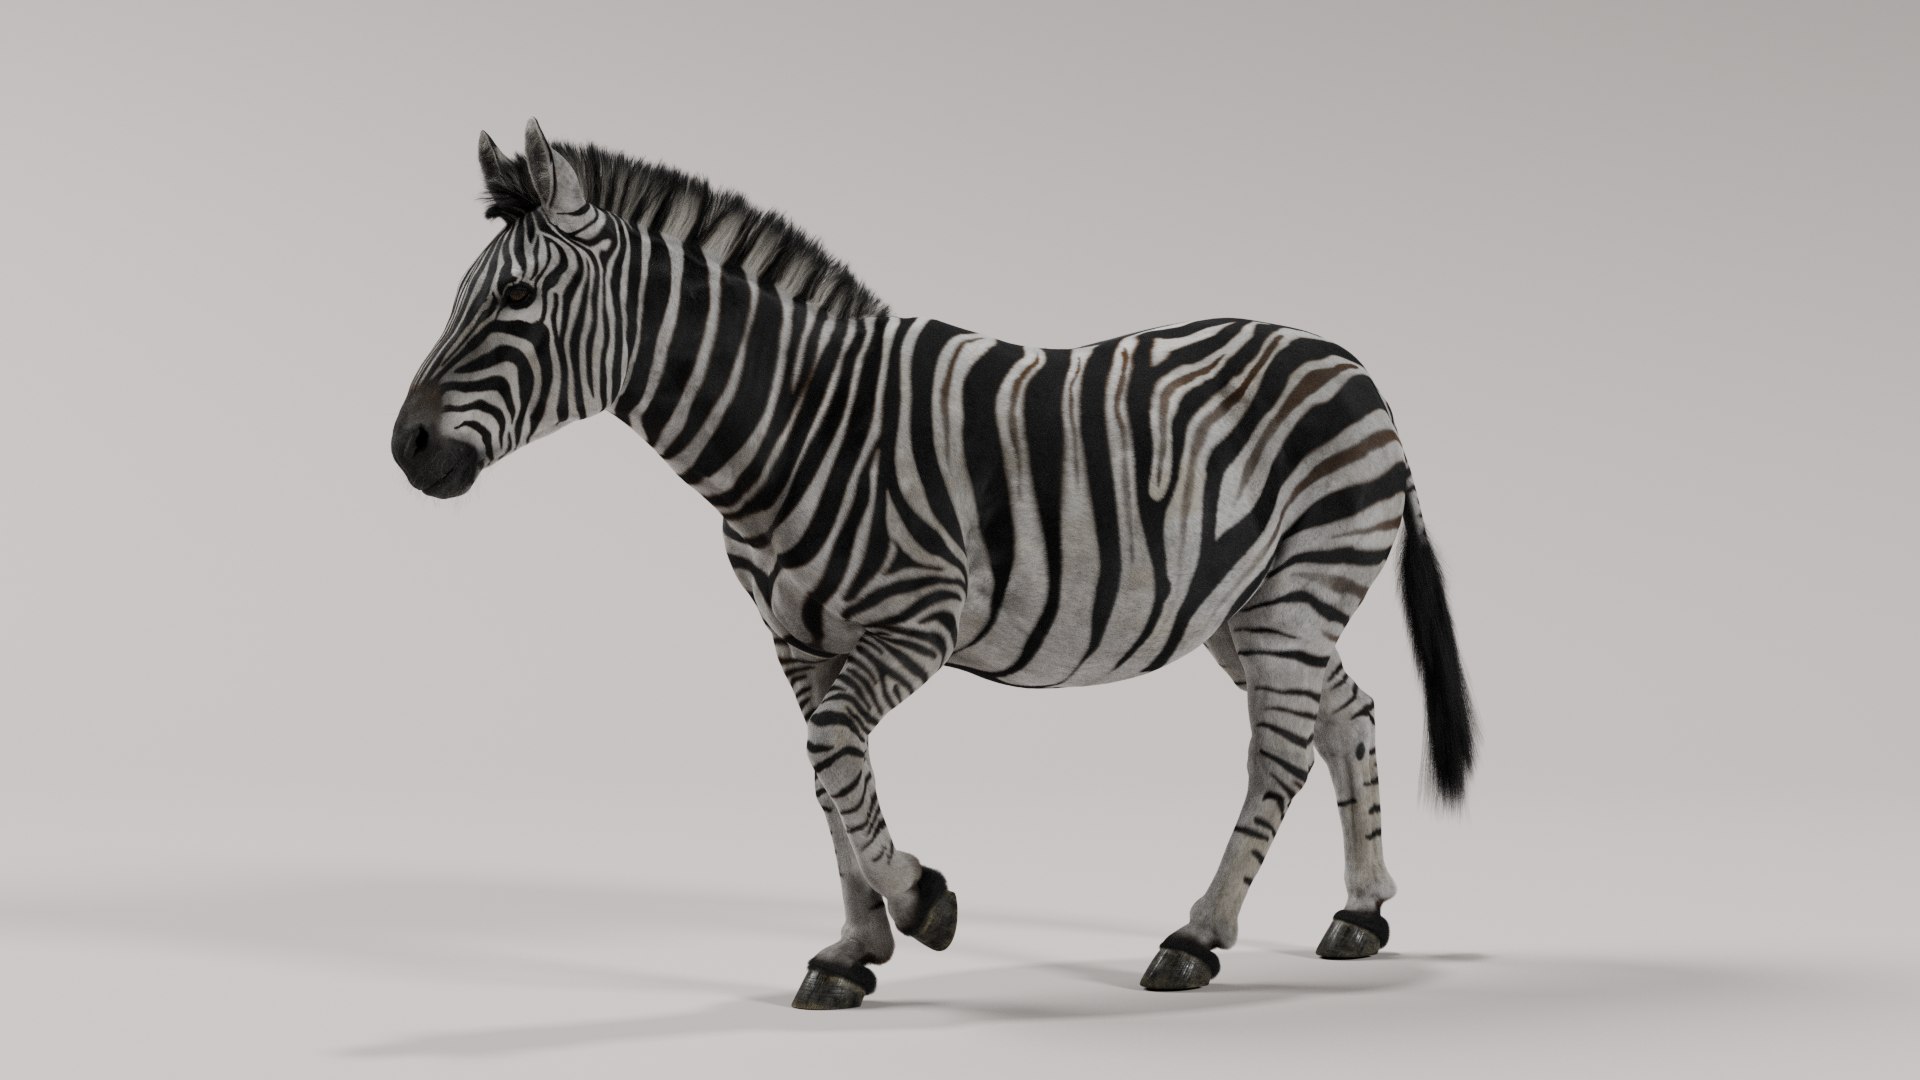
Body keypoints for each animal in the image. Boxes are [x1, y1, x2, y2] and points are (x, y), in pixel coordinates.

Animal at [391, 120, 1475, 1010]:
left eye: (517, 297)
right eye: (459, 297)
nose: (405, 449)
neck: (792, 425)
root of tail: (1352, 365)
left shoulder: (919, 614)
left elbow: (834, 753)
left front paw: (921, 904)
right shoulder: (796, 639)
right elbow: (827, 778)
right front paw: (851, 949)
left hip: (1301, 583)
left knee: (1278, 752)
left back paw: (1198, 937)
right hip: (1244, 608)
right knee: (1347, 715)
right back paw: (1362, 911)